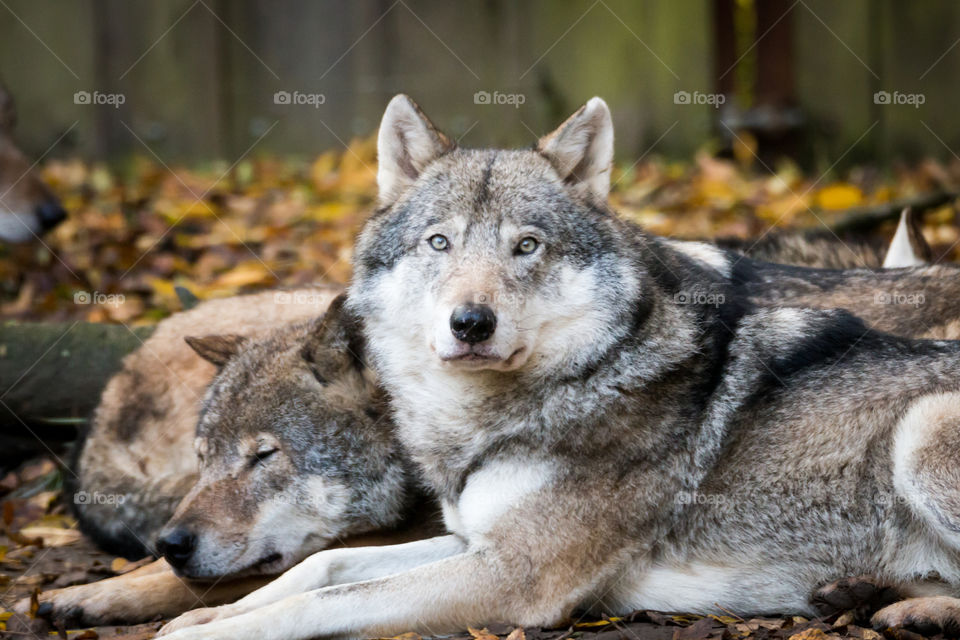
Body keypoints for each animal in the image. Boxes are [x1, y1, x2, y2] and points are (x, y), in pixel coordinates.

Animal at [156, 95, 960, 640]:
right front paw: (201, 618)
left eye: (527, 246)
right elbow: (318, 567)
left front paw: (212, 630)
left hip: (920, 431)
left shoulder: (514, 578)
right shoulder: (474, 542)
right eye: (440, 243)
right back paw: (871, 597)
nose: (471, 323)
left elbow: (317, 601)